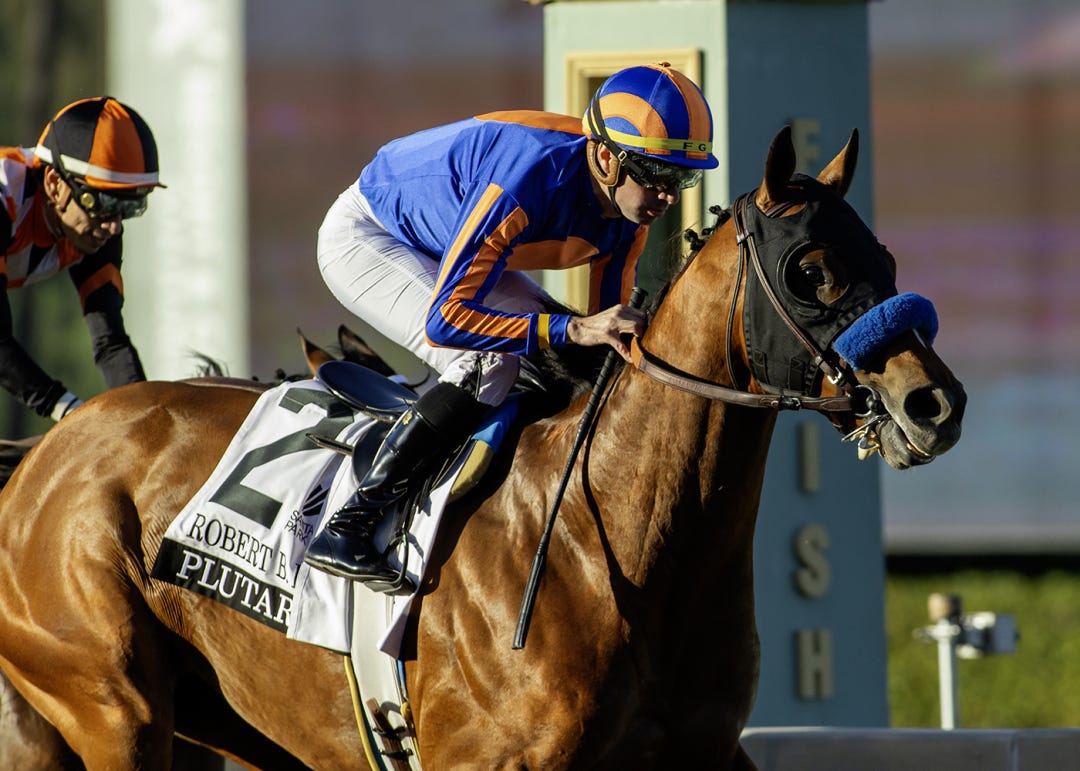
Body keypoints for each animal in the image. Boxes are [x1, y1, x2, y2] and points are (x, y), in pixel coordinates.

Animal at [0, 126, 964, 769]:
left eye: (882, 256)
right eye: (810, 271)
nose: (935, 403)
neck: (624, 542)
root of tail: (52, 450)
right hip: (112, 706)